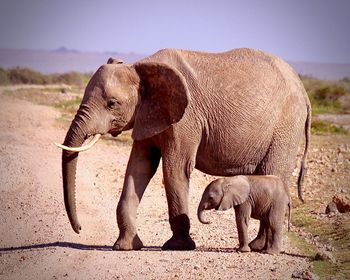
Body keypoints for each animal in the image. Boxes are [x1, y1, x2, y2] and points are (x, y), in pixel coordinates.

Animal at [56, 48, 310, 252]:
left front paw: (177, 247)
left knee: (272, 172)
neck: (141, 67)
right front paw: (125, 247)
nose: (79, 228)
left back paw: (259, 247)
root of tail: (303, 90)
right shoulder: (148, 116)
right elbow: (139, 168)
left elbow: (175, 170)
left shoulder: (186, 119)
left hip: (286, 127)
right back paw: (259, 246)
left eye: (112, 104)